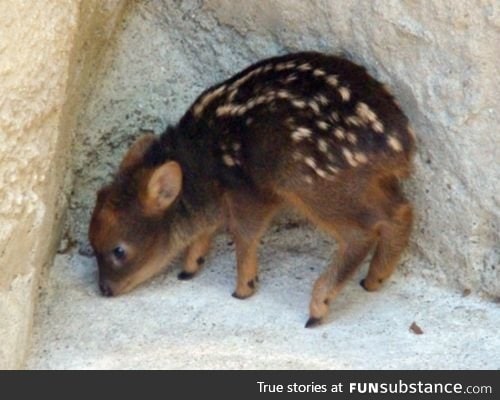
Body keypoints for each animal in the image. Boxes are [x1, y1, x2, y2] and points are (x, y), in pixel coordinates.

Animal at [89, 52, 414, 328]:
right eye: (91, 244)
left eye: (119, 250)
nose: (105, 289)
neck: (200, 163)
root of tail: (401, 144)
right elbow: (209, 228)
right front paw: (190, 267)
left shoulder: (252, 192)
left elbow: (244, 233)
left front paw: (243, 287)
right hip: (361, 182)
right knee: (400, 210)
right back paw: (374, 280)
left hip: (310, 181)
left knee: (361, 232)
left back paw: (318, 307)